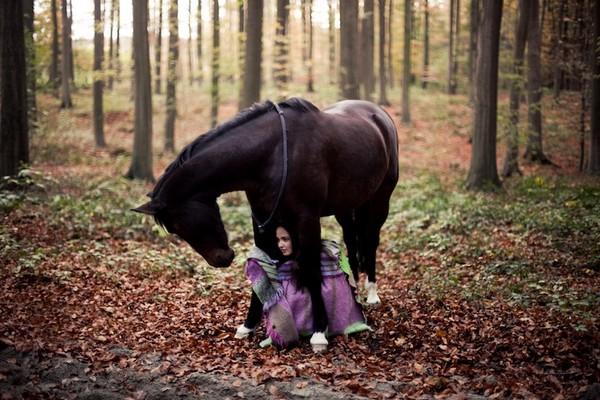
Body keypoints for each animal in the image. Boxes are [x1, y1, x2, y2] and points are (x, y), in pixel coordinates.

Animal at [134, 98, 400, 352]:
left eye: (178, 224)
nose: (222, 259)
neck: (273, 155)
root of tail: (379, 114)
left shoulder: (307, 219)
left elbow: (311, 269)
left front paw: (318, 333)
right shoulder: (261, 220)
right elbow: (262, 265)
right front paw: (248, 326)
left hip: (380, 201)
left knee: (370, 243)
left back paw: (371, 294)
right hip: (345, 206)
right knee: (351, 243)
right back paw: (354, 292)